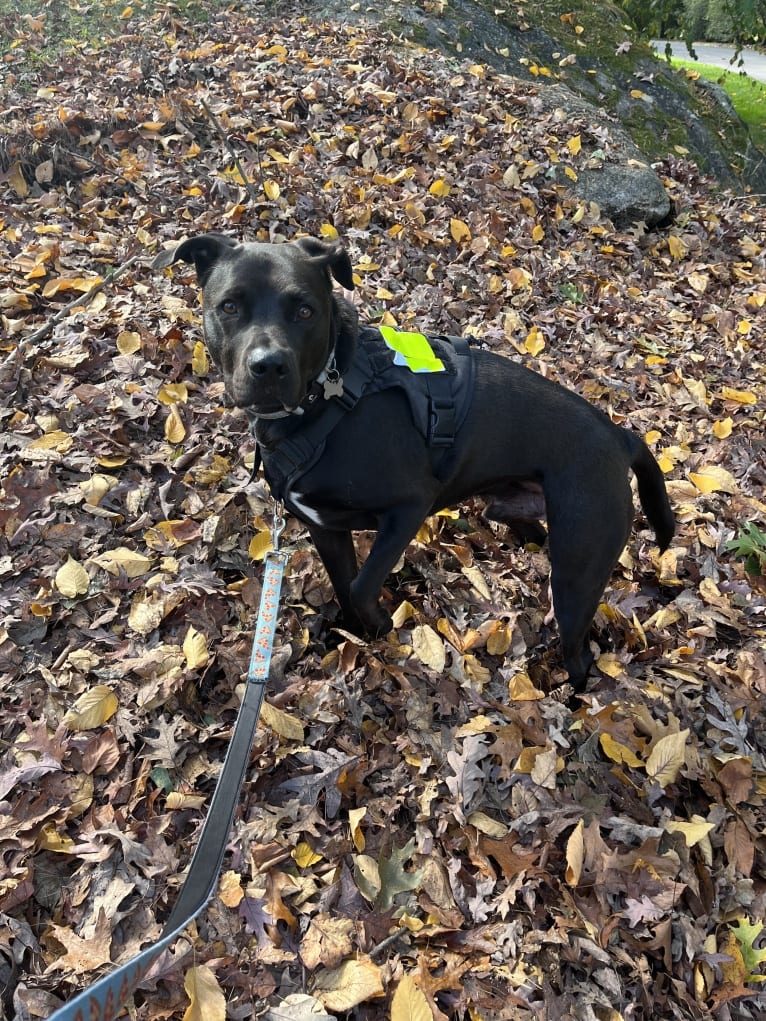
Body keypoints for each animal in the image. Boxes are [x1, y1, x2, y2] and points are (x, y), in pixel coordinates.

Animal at [153, 234, 674, 690]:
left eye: (305, 310)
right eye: (229, 306)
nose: (268, 366)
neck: (329, 398)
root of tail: (619, 435)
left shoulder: (408, 507)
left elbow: (362, 585)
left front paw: (384, 627)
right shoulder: (324, 527)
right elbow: (345, 584)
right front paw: (364, 634)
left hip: (578, 569)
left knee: (580, 653)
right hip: (518, 512)